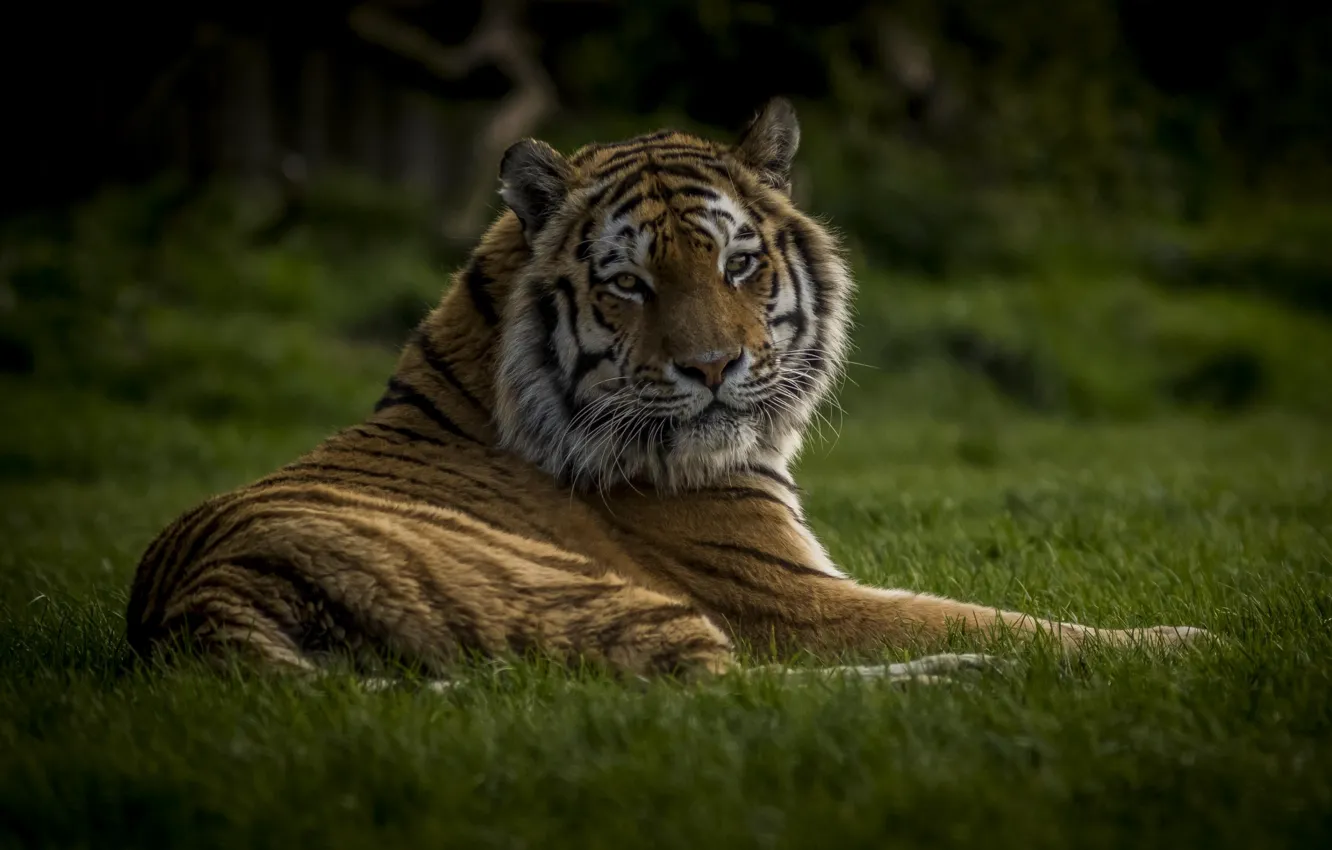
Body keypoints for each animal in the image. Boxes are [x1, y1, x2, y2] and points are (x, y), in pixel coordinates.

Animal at [125, 99, 1205, 685]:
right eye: (630, 283)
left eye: (738, 263)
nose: (716, 368)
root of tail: (196, 603)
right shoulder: (790, 600)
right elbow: (1002, 615)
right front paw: (1187, 640)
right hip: (613, 599)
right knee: (730, 702)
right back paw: (989, 673)